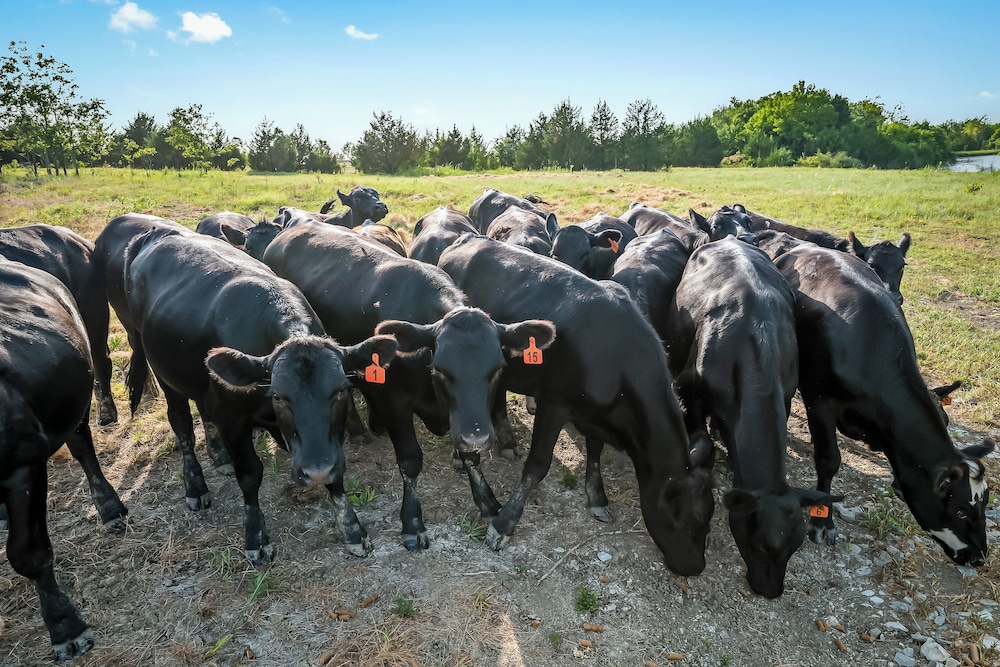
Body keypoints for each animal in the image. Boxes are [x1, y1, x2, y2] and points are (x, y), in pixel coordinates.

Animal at [120, 226, 398, 564]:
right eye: (277, 395)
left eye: (342, 390)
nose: (316, 472)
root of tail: (156, 232)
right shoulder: (232, 420)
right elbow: (250, 475)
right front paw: (255, 537)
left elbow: (337, 475)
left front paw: (353, 530)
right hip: (164, 373)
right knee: (182, 424)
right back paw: (195, 486)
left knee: (202, 410)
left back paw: (219, 456)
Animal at [256, 222, 554, 551]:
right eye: (440, 369)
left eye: (498, 369)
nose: (477, 437)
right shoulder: (395, 402)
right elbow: (410, 460)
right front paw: (412, 521)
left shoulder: (465, 420)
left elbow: (471, 457)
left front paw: (487, 502)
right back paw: (359, 430)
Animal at [437, 235, 715, 577]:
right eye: (690, 524)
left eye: (708, 524)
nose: (694, 568)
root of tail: (468, 237)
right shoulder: (554, 402)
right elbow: (538, 465)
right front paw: (504, 523)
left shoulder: (594, 413)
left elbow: (594, 451)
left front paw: (597, 497)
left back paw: (506, 441)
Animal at [663, 239, 837, 598]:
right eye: (760, 545)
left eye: (796, 545)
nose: (771, 592)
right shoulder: (689, 387)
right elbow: (700, 440)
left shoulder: (786, 394)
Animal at [771, 242, 994, 566]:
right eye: (961, 510)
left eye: (986, 500)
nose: (979, 556)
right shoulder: (819, 401)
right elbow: (829, 460)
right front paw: (822, 522)